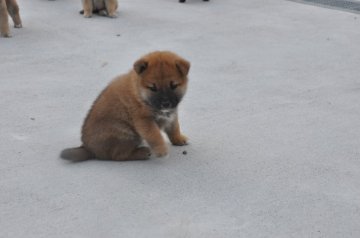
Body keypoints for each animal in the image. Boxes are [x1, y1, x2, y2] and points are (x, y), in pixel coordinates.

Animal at [61, 51, 191, 161]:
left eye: (174, 85)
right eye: (153, 88)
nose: (165, 103)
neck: (141, 95)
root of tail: (89, 149)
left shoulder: (171, 115)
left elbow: (174, 128)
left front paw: (179, 139)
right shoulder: (144, 120)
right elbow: (154, 135)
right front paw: (161, 150)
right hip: (124, 134)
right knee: (119, 155)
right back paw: (142, 152)